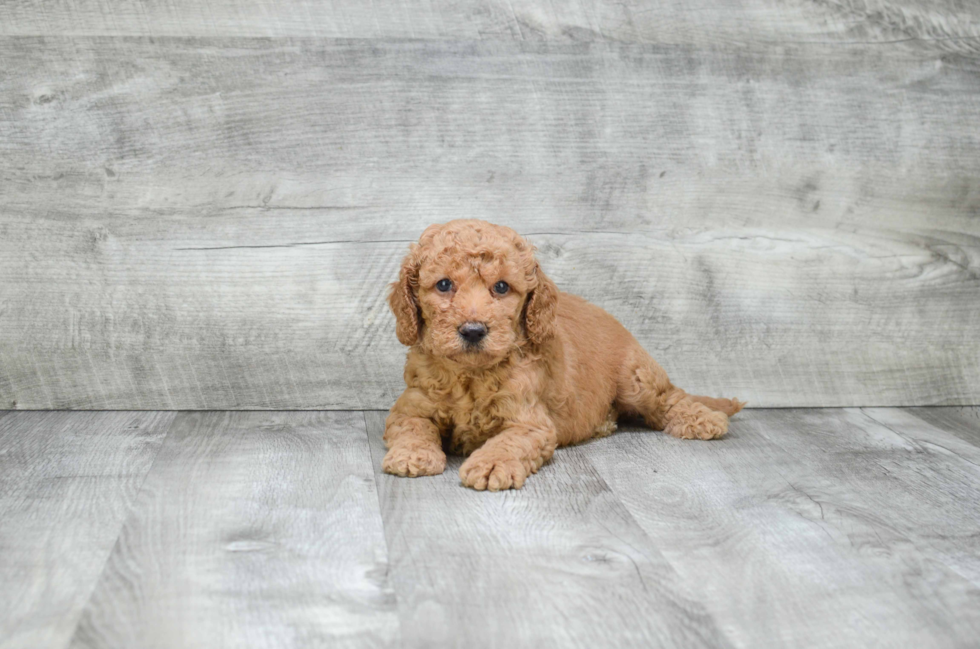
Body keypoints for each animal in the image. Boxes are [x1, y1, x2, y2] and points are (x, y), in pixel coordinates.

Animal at [382, 220, 744, 488]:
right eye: (444, 285)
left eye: (501, 287)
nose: (473, 330)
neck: (470, 375)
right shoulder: (410, 408)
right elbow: (413, 428)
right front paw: (412, 455)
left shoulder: (530, 423)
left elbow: (507, 443)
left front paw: (491, 465)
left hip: (636, 378)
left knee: (670, 398)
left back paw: (703, 419)